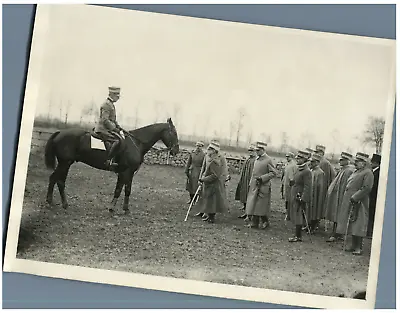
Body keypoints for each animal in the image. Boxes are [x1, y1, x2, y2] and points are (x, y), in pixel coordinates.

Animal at [43, 117, 180, 214]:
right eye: (174, 133)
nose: (176, 150)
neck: (136, 143)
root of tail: (59, 132)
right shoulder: (125, 172)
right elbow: (119, 190)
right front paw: (112, 207)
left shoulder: (128, 173)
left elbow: (126, 190)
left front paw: (125, 209)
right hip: (64, 163)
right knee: (56, 179)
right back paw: (53, 202)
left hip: (66, 163)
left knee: (58, 180)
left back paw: (60, 203)